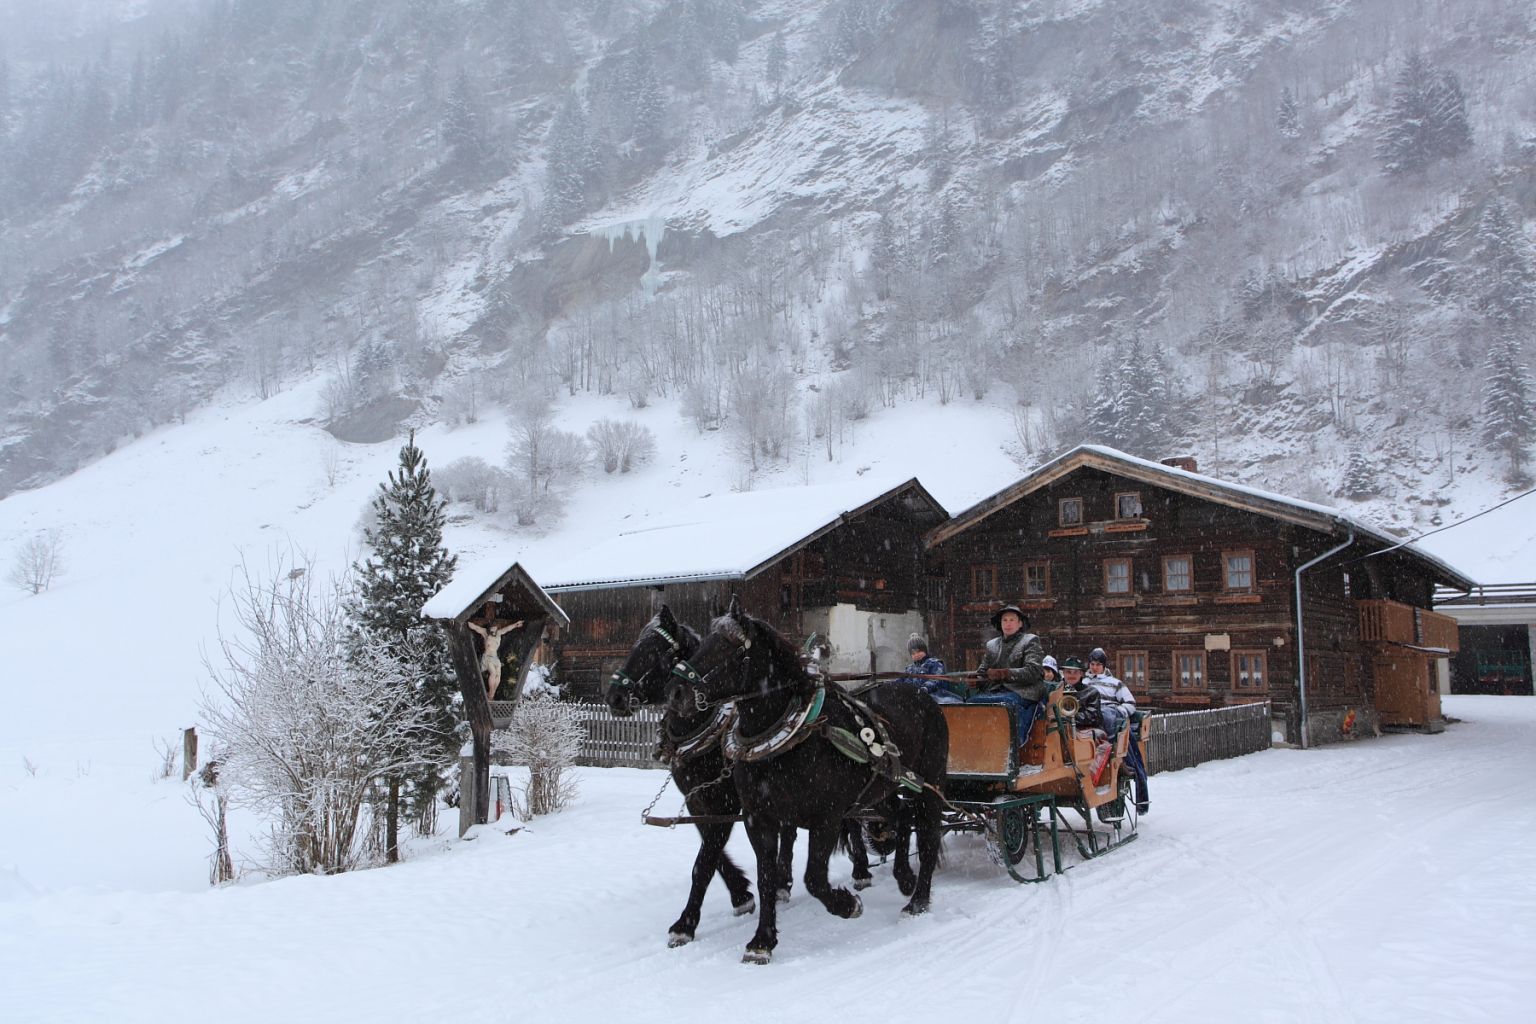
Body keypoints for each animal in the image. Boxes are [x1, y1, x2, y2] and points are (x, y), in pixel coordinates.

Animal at [599, 604, 866, 951]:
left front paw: (688, 922)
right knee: (791, 832)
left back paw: (861, 870)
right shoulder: (703, 803)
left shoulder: (728, 803)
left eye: (655, 651)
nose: (614, 696)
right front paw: (741, 894)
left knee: (852, 818)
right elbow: (710, 854)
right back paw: (784, 882)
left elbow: (705, 860)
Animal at [672, 595, 946, 964]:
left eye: (728, 647)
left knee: (928, 838)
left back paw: (917, 901)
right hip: (880, 789)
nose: (677, 694)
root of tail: (922, 695)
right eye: (705, 640)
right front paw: (762, 941)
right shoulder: (758, 818)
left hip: (931, 785)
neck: (786, 737)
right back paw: (904, 878)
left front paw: (847, 905)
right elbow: (765, 877)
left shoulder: (826, 816)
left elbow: (814, 877)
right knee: (903, 817)